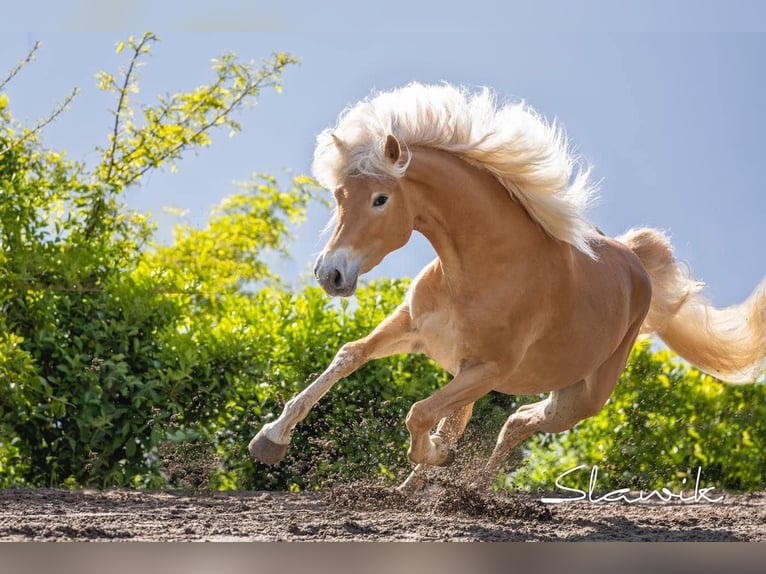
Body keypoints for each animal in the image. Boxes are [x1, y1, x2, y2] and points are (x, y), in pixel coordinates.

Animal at [250, 81, 766, 496]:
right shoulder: (412, 330)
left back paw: (471, 490)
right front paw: (271, 439)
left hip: (580, 400)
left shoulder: (488, 371)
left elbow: (418, 413)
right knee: (499, 422)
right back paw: (416, 489)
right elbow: (350, 356)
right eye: (340, 196)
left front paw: (439, 457)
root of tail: (634, 262)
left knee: (515, 424)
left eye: (380, 199)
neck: (481, 271)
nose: (330, 274)